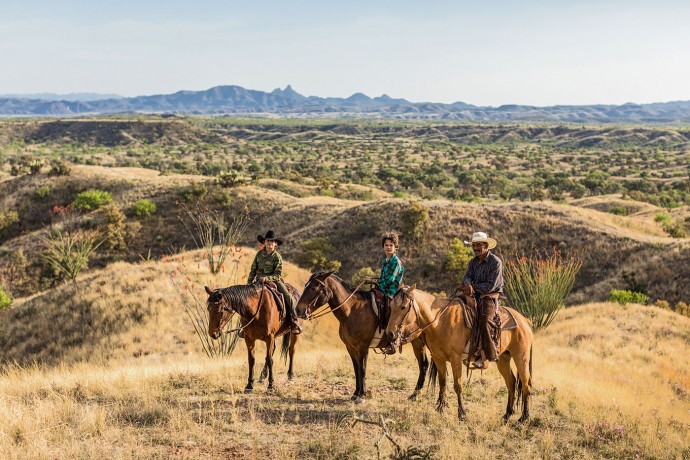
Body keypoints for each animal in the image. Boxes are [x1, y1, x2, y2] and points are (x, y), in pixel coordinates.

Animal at [292, 272, 430, 404]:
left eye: (314, 287)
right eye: (306, 285)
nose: (298, 310)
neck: (352, 311)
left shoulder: (363, 347)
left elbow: (362, 369)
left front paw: (362, 395)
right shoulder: (350, 347)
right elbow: (356, 368)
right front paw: (356, 393)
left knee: (423, 365)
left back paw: (416, 394)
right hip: (417, 342)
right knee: (424, 365)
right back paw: (415, 395)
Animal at [382, 286, 532, 422]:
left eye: (403, 307)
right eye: (391, 306)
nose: (390, 334)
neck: (440, 321)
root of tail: (524, 320)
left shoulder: (456, 359)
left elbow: (458, 386)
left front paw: (462, 414)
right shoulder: (438, 358)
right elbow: (442, 382)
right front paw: (441, 407)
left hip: (521, 357)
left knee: (526, 384)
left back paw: (524, 417)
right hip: (502, 359)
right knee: (511, 382)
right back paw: (507, 415)